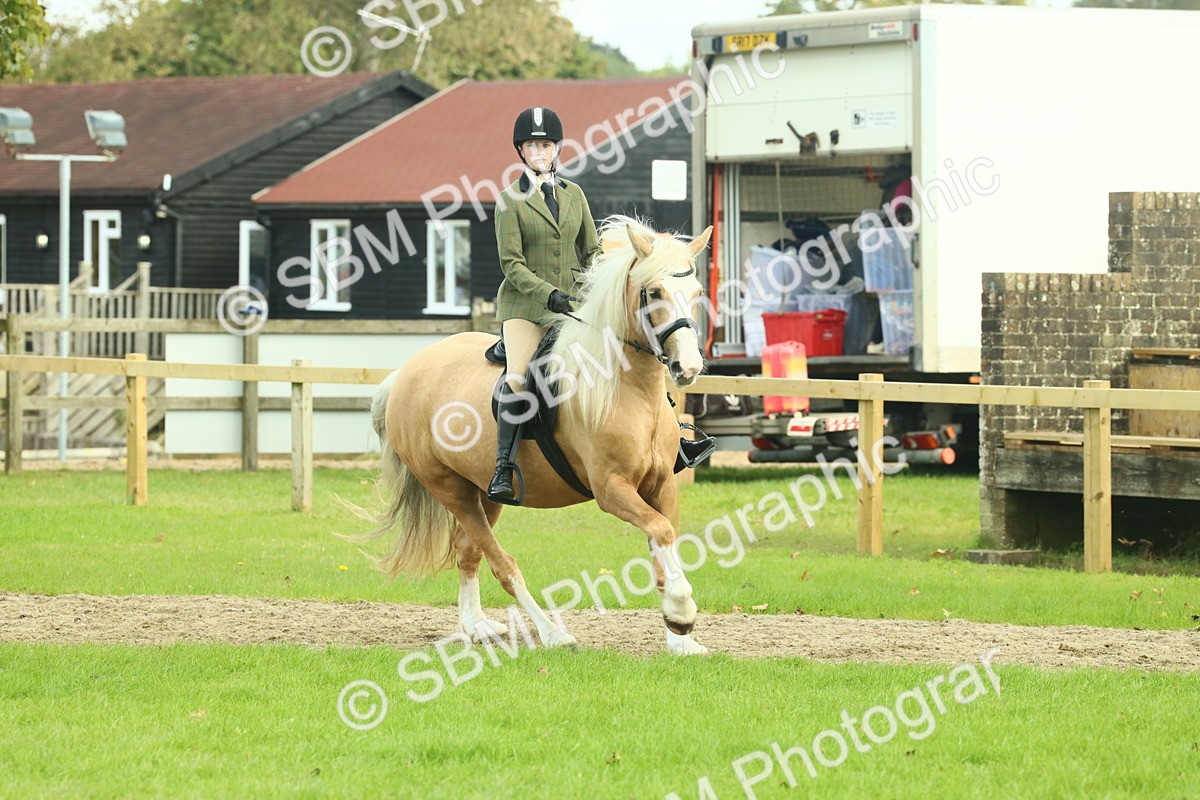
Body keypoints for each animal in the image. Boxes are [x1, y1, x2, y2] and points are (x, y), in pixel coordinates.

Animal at [354, 215, 714, 656]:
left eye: (696, 292)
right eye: (655, 291)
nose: (688, 366)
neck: (628, 390)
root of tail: (405, 373)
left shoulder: (662, 485)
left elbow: (663, 543)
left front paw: (680, 637)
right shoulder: (612, 489)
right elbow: (661, 532)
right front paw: (681, 611)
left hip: (483, 493)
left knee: (468, 553)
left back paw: (477, 627)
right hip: (449, 489)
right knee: (501, 565)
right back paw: (551, 633)